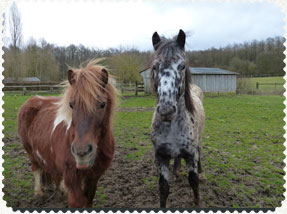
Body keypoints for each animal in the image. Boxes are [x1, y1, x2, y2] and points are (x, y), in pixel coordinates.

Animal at [17, 59, 117, 208]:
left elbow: (89, 199)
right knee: (36, 168)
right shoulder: (72, 177)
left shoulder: (94, 176)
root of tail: (33, 99)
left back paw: (61, 191)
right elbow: (77, 202)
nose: (82, 152)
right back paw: (39, 194)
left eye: (102, 104)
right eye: (71, 104)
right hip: (30, 151)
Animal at [150, 30, 206, 207]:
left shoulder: (190, 154)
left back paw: (202, 173)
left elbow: (193, 182)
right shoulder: (160, 156)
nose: (166, 110)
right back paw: (176, 172)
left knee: (200, 152)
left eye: (182, 66)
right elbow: (163, 188)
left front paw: (198, 203)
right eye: (155, 66)